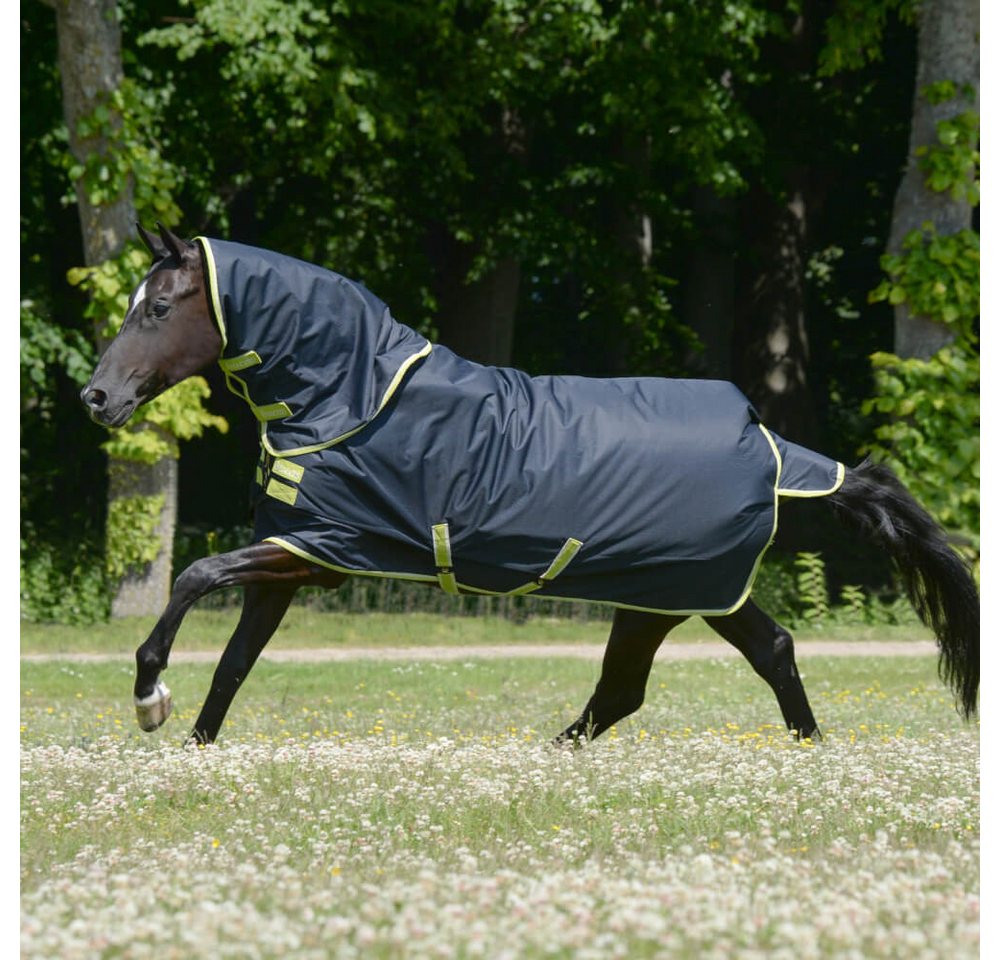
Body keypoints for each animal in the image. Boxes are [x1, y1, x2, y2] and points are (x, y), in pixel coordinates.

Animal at [80, 223, 979, 746]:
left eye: (157, 307)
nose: (97, 397)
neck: (352, 394)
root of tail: (768, 441)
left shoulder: (320, 550)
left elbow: (195, 577)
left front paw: (149, 697)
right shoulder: (295, 557)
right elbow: (235, 664)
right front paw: (193, 746)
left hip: (673, 592)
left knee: (645, 684)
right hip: (678, 593)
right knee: (736, 660)